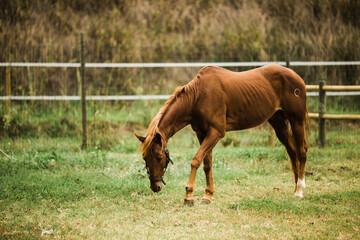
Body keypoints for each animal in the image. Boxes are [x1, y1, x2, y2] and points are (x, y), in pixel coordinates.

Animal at [135, 64, 306, 205]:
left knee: (301, 152)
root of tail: (296, 76)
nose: (155, 186)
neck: (198, 97)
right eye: (145, 158)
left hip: (297, 121)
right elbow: (207, 164)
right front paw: (207, 195)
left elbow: (196, 160)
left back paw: (299, 191)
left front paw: (189, 196)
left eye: (159, 157)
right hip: (278, 123)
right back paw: (295, 187)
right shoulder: (202, 133)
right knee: (292, 152)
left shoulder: (216, 132)